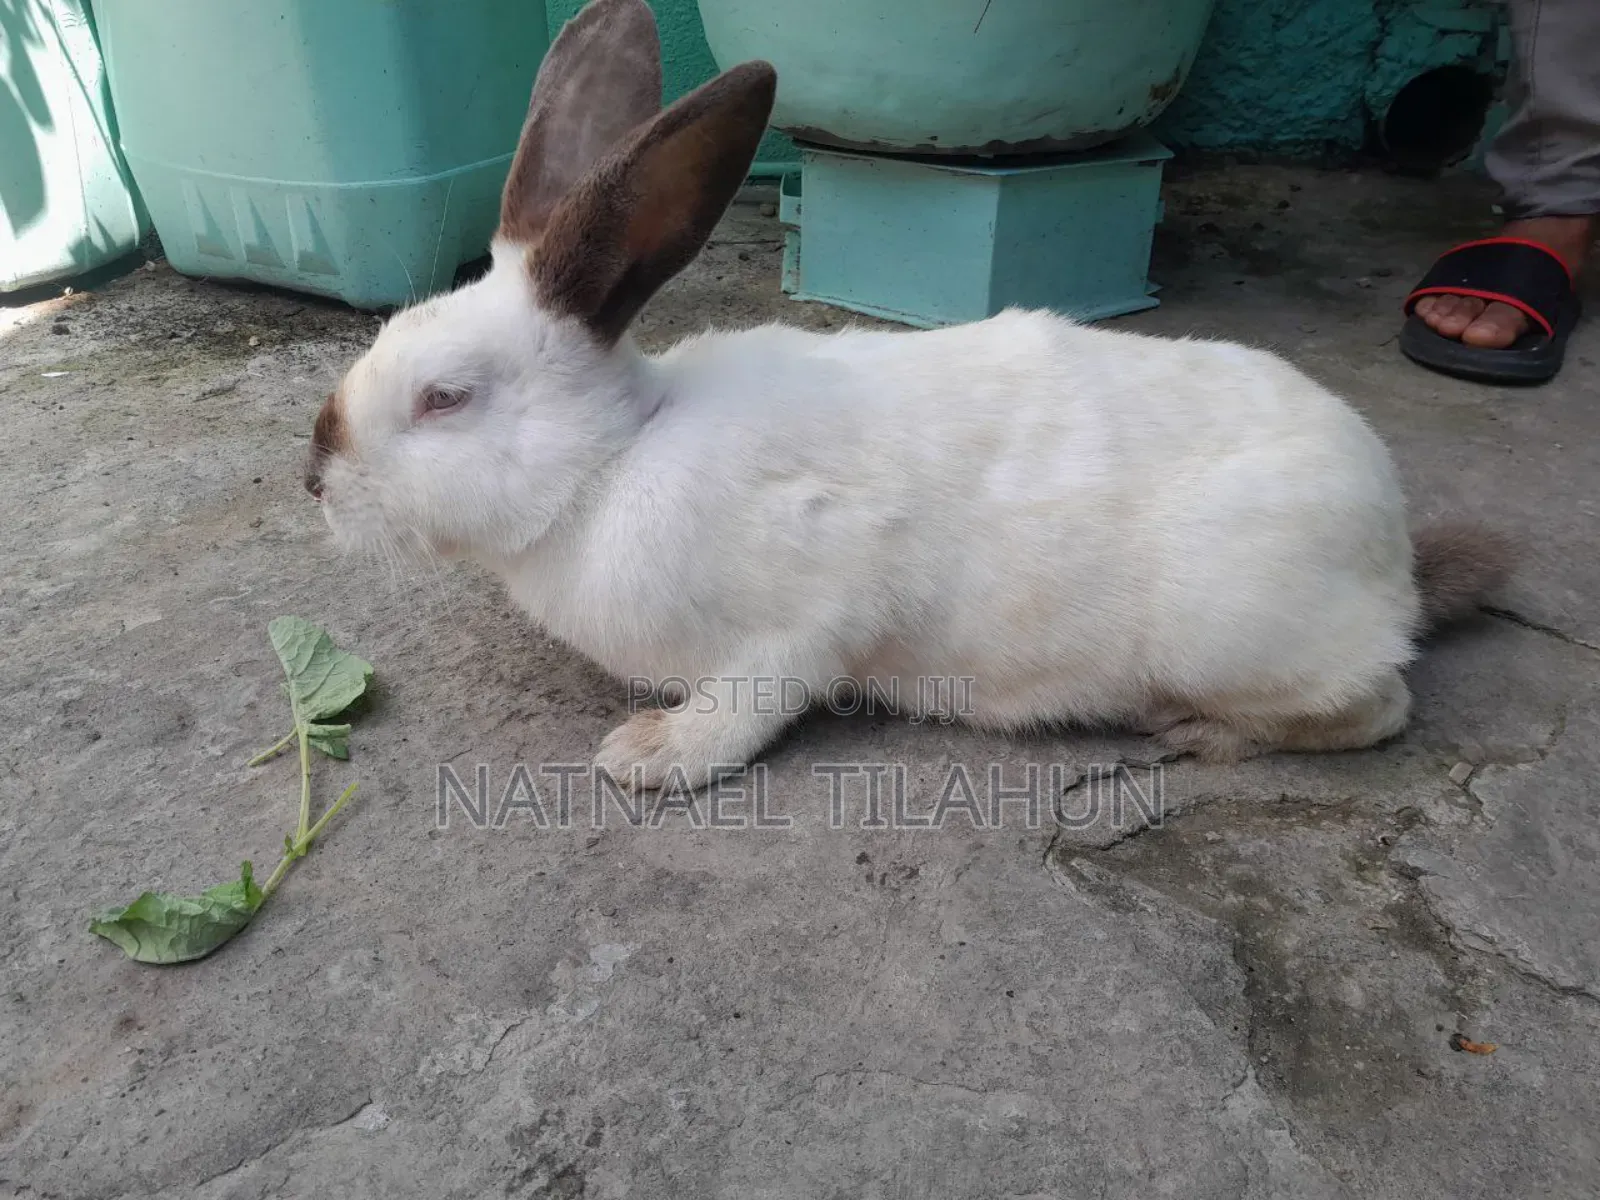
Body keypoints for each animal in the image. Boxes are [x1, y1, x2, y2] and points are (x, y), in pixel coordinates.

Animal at [305, 0, 1511, 790]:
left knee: (1377, 708)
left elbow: (743, 712)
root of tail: (1391, 548)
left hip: (1241, 633)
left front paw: (644, 757)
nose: (313, 477)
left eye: (445, 399)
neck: (614, 458)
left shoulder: (802, 621)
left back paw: (1195, 734)